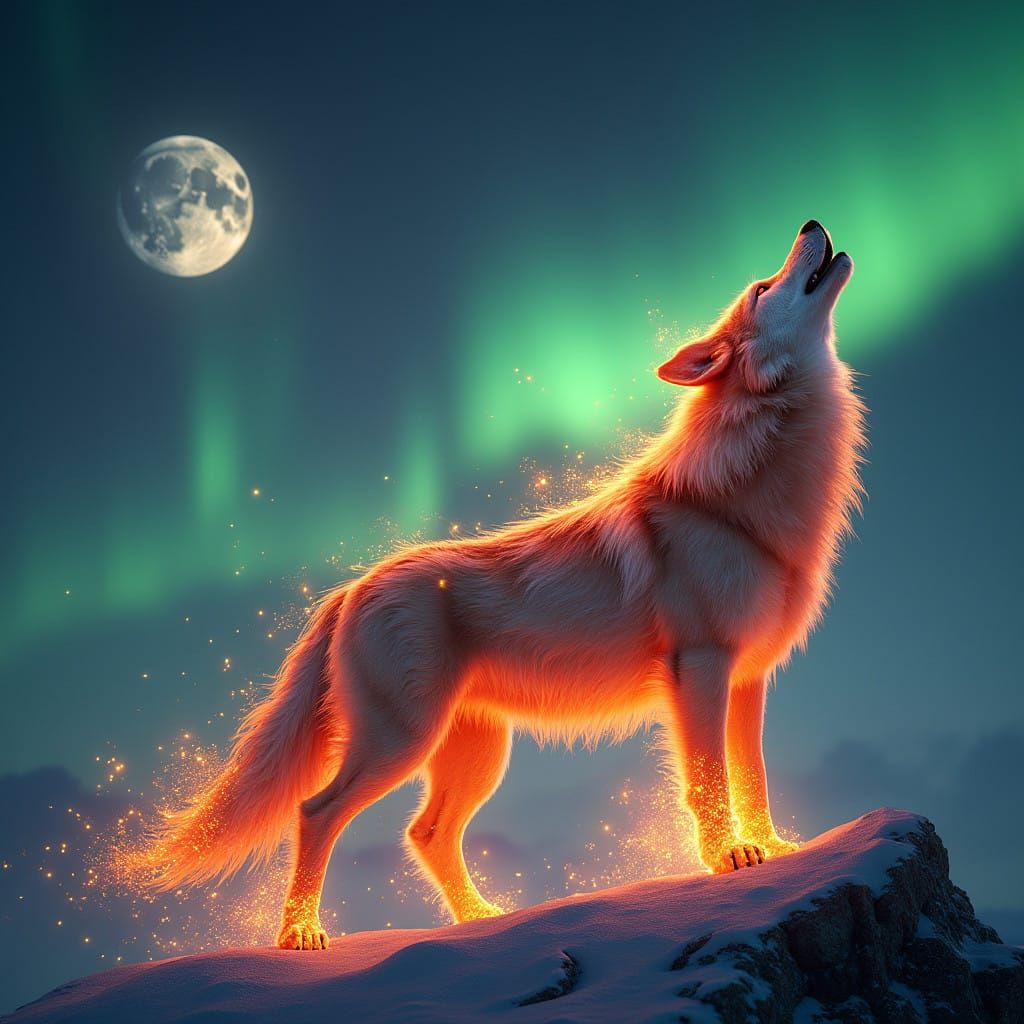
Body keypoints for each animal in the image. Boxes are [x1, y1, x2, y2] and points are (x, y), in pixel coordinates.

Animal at [150, 221, 864, 950]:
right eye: (762, 288)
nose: (810, 226)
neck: (742, 503)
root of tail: (349, 589)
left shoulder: (748, 678)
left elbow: (753, 776)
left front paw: (776, 850)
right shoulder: (701, 668)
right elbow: (709, 780)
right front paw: (728, 859)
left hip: (476, 755)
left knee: (426, 833)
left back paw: (481, 921)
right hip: (399, 743)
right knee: (316, 811)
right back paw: (301, 937)